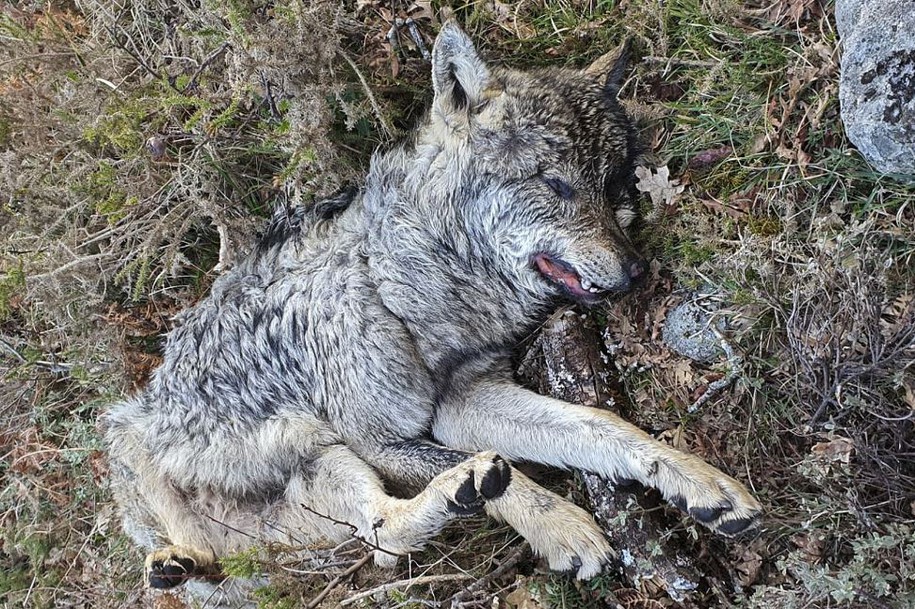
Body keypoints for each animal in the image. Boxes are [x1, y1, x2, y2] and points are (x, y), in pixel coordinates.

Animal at [104, 22, 764, 592]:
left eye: (614, 185)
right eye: (555, 184)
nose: (635, 272)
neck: (398, 285)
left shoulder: (465, 401)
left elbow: (602, 426)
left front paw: (698, 482)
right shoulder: (380, 440)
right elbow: (500, 472)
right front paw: (561, 526)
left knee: (375, 544)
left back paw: (182, 566)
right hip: (282, 444)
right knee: (383, 535)